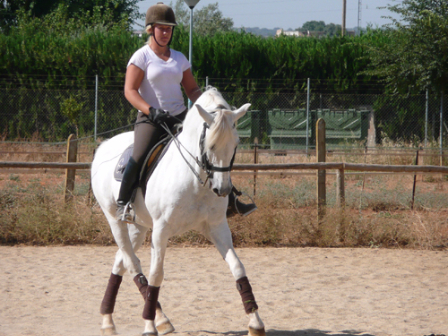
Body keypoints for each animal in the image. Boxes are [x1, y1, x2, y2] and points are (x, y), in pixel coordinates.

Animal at [92, 87, 266, 336]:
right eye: (210, 145)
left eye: (236, 143)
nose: (222, 190)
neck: (196, 178)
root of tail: (104, 146)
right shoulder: (161, 230)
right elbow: (156, 275)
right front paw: (148, 325)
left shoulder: (217, 227)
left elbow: (237, 268)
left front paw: (255, 322)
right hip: (115, 220)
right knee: (133, 264)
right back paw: (147, 319)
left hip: (139, 226)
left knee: (121, 261)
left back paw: (114, 321)